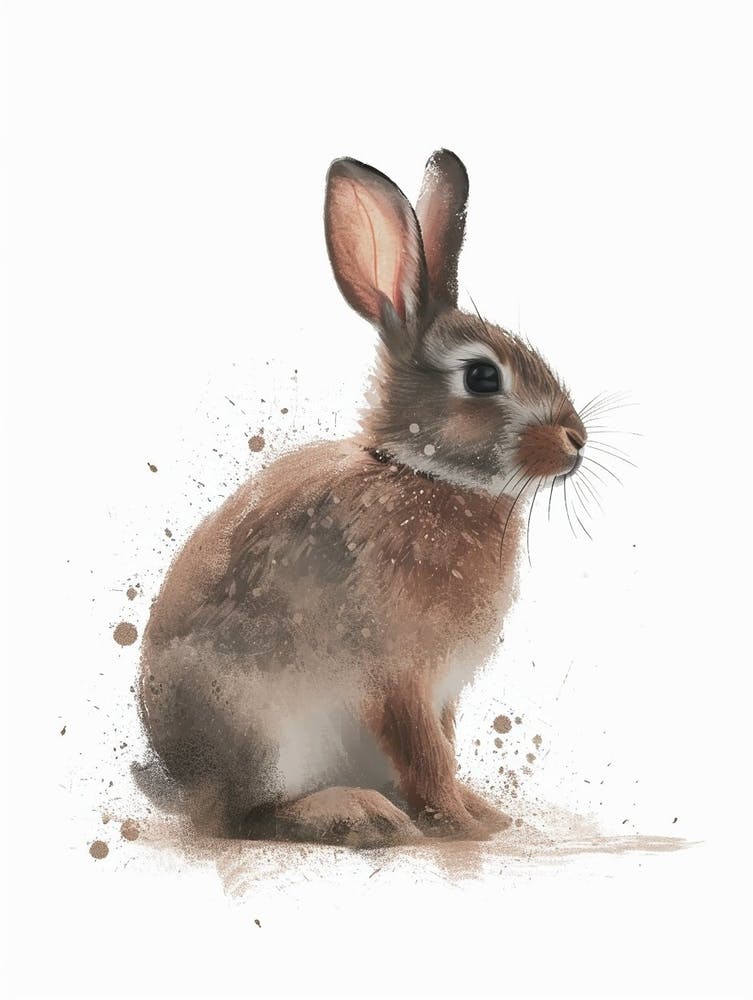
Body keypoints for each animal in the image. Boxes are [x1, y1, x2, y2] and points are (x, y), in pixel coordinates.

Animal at [138, 149, 588, 846]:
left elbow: (443, 750)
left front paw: (485, 815)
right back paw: (357, 814)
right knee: (243, 818)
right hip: (263, 730)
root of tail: (183, 782)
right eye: (483, 376)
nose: (577, 441)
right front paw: (462, 828)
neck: (425, 477)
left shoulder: (442, 691)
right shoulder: (397, 677)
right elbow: (427, 756)